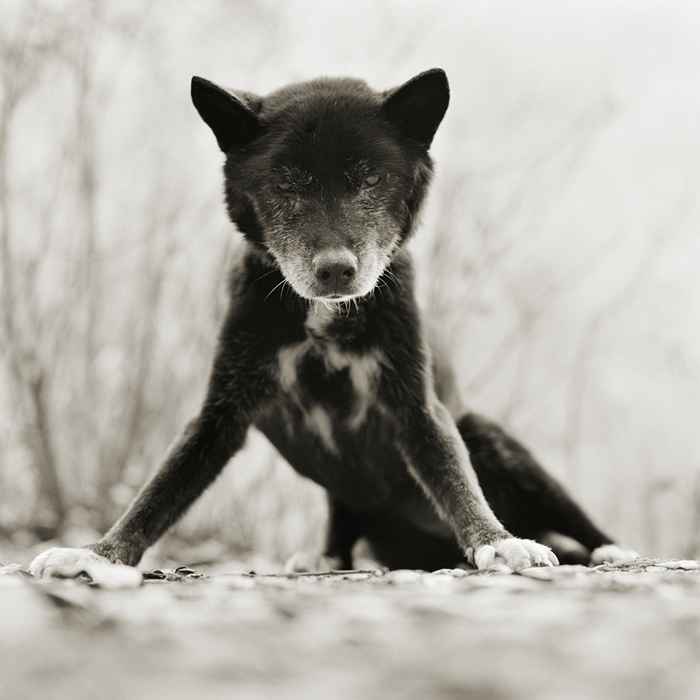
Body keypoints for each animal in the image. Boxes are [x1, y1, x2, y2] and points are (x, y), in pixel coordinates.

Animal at [31, 68, 636, 576]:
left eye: (369, 179)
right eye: (287, 182)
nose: (336, 270)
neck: (322, 319)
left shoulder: (417, 405)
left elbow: (454, 478)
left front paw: (498, 542)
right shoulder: (220, 411)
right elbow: (160, 491)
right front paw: (99, 554)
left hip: (495, 440)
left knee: (574, 522)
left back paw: (608, 549)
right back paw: (324, 559)